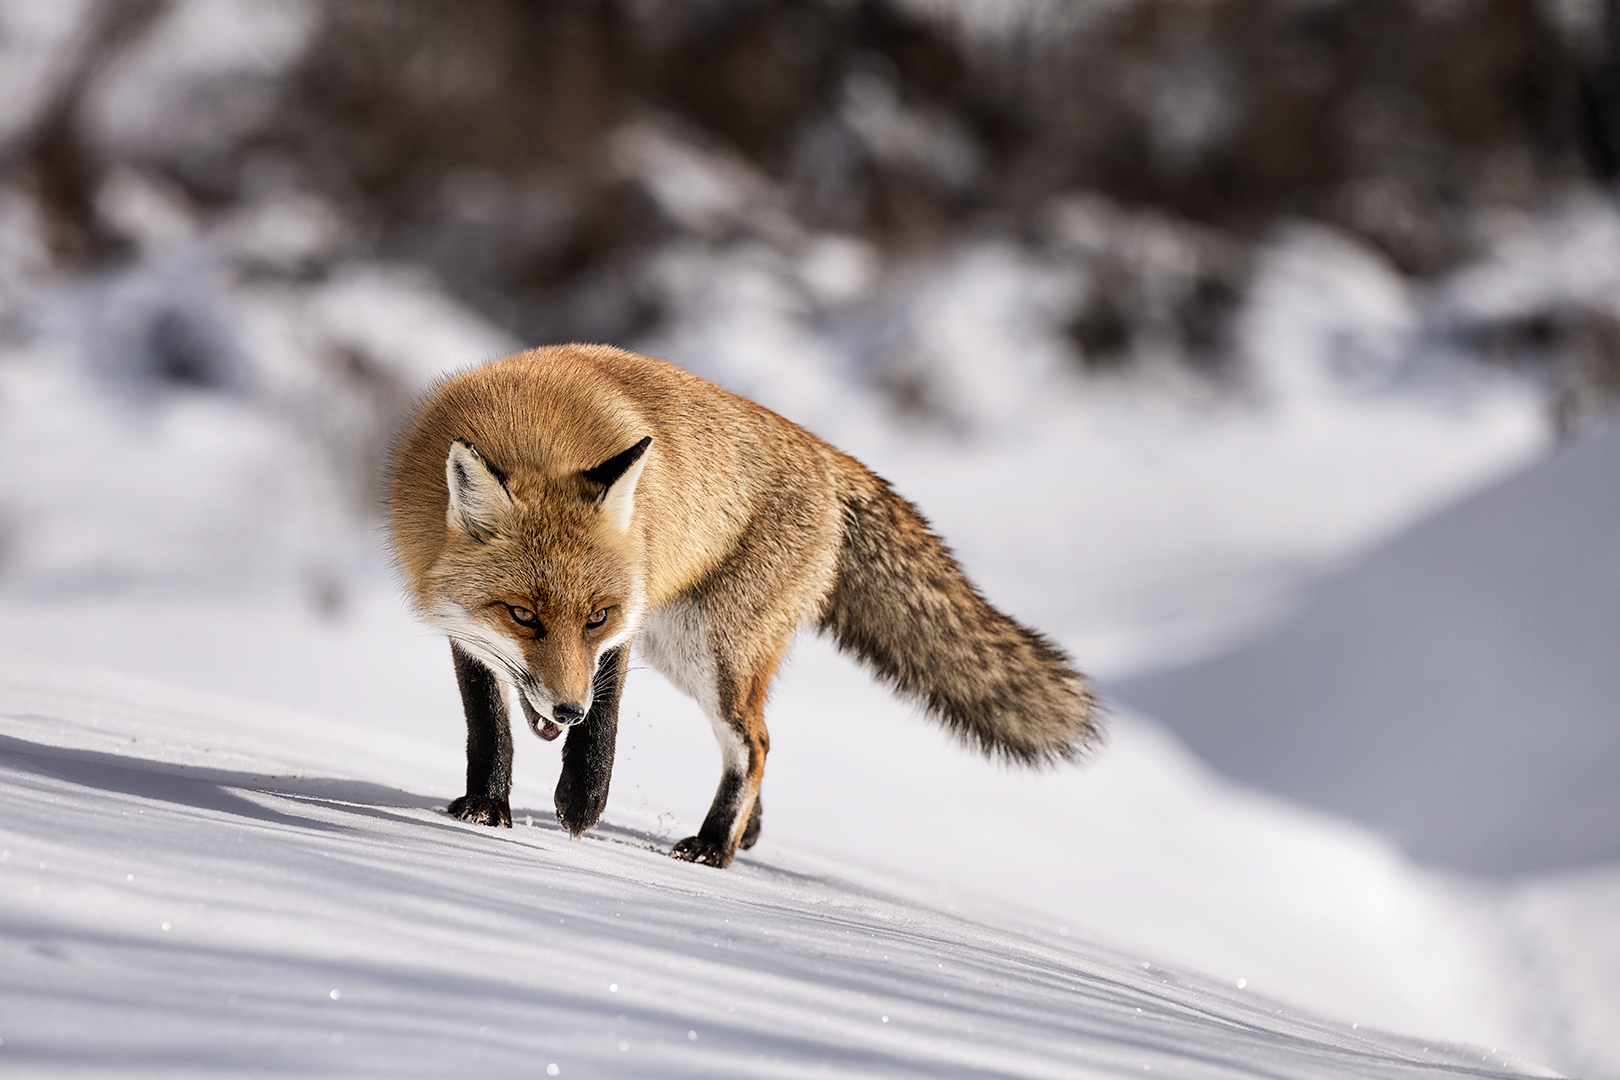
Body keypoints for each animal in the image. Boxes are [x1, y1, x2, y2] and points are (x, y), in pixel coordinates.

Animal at [388, 344, 1099, 868]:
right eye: (523, 616)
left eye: (596, 618)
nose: (567, 709)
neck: (531, 425)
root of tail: (829, 456)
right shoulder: (466, 633)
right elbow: (487, 724)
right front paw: (486, 809)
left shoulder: (627, 625)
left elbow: (604, 724)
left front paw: (583, 802)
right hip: (684, 649)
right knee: (758, 741)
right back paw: (744, 832)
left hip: (710, 653)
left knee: (755, 742)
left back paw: (714, 845)